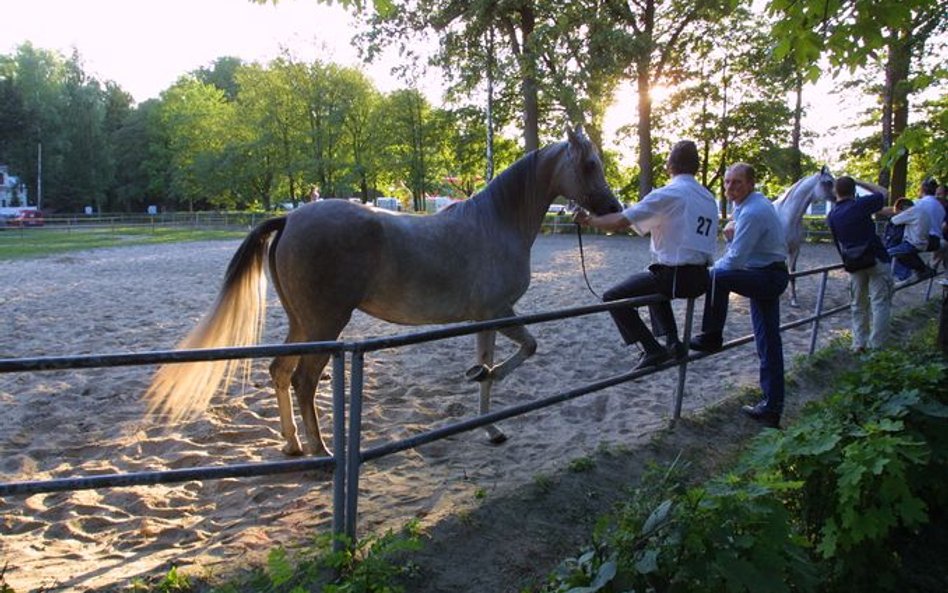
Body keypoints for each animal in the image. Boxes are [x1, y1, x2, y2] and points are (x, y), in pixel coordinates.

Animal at [146, 127, 624, 456]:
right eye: (588, 164)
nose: (613, 208)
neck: (496, 222)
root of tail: (291, 218)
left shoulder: (485, 317)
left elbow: (505, 358)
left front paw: (487, 415)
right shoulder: (497, 311)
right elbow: (524, 350)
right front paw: (488, 401)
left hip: (303, 324)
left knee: (280, 372)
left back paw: (293, 444)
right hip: (326, 324)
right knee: (303, 380)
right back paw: (321, 449)